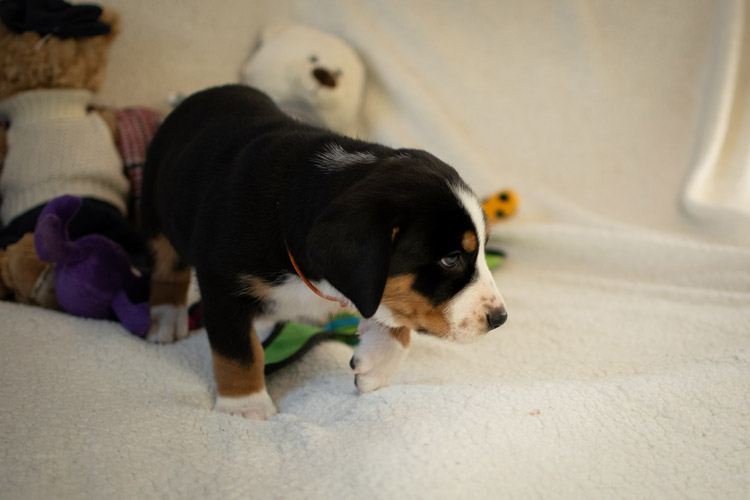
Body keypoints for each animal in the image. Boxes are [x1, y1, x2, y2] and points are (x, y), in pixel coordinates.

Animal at [141, 85, 507, 419]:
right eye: (450, 258)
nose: (500, 318)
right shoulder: (221, 282)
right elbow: (238, 352)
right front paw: (245, 408)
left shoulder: (369, 285)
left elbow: (396, 311)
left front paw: (378, 361)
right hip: (153, 210)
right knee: (165, 267)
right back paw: (166, 318)